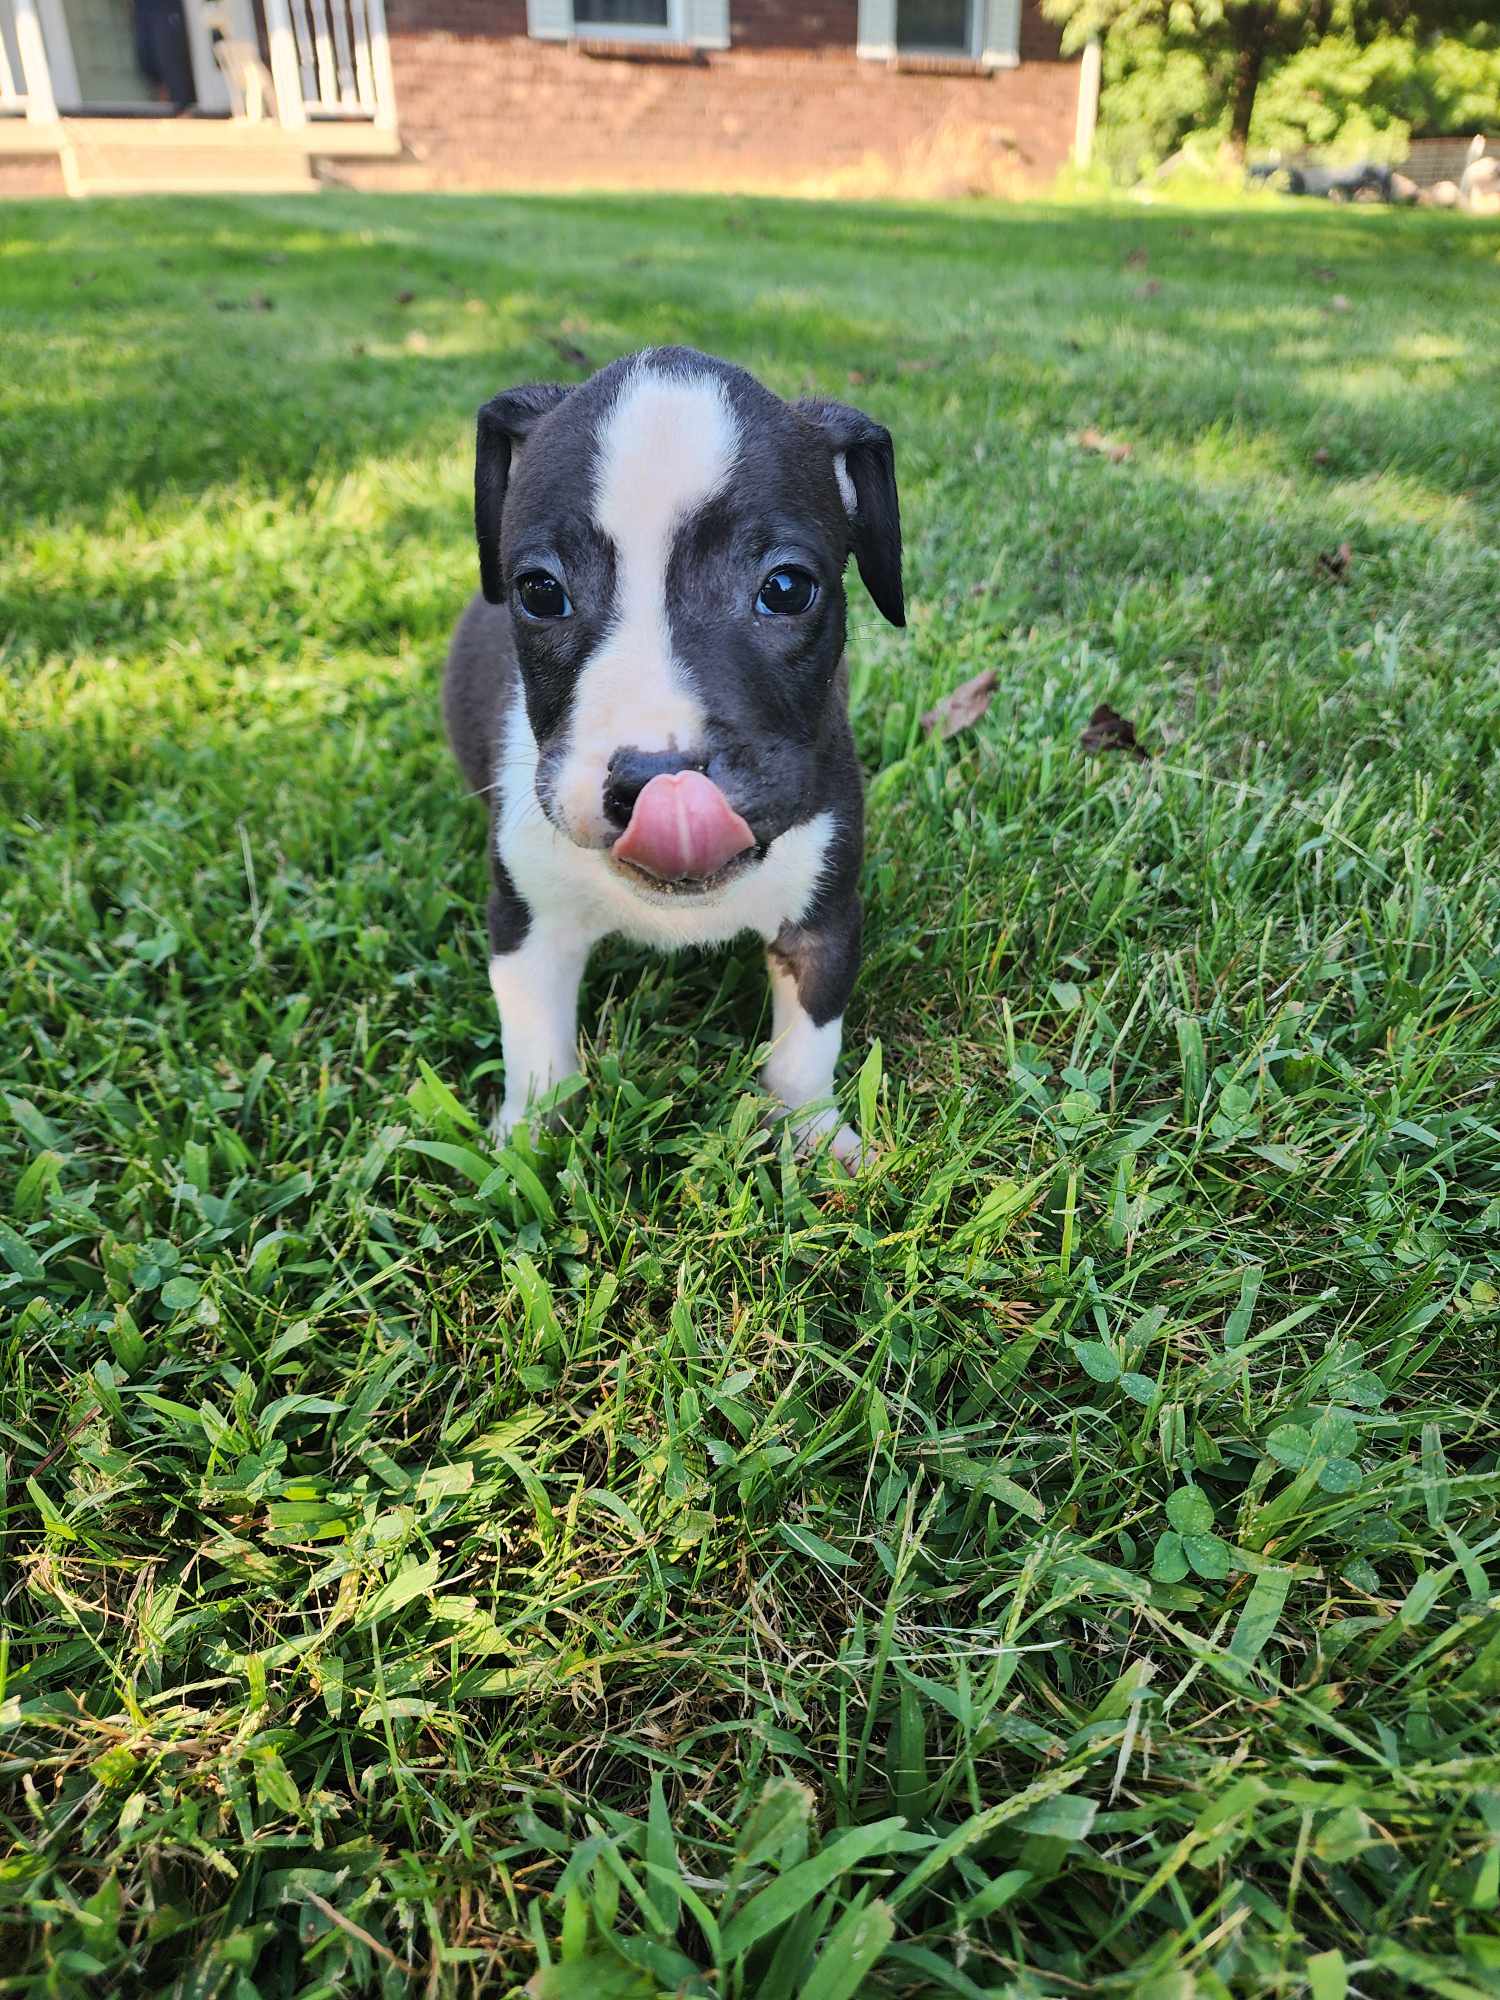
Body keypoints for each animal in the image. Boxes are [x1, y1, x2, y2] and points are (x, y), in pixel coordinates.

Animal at [444, 344, 904, 1168]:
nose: (657, 781)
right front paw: (529, 1145)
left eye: (787, 588)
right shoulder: (527, 924)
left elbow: (805, 1047)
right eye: (540, 591)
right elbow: (537, 1051)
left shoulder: (825, 917)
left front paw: (814, 1134)